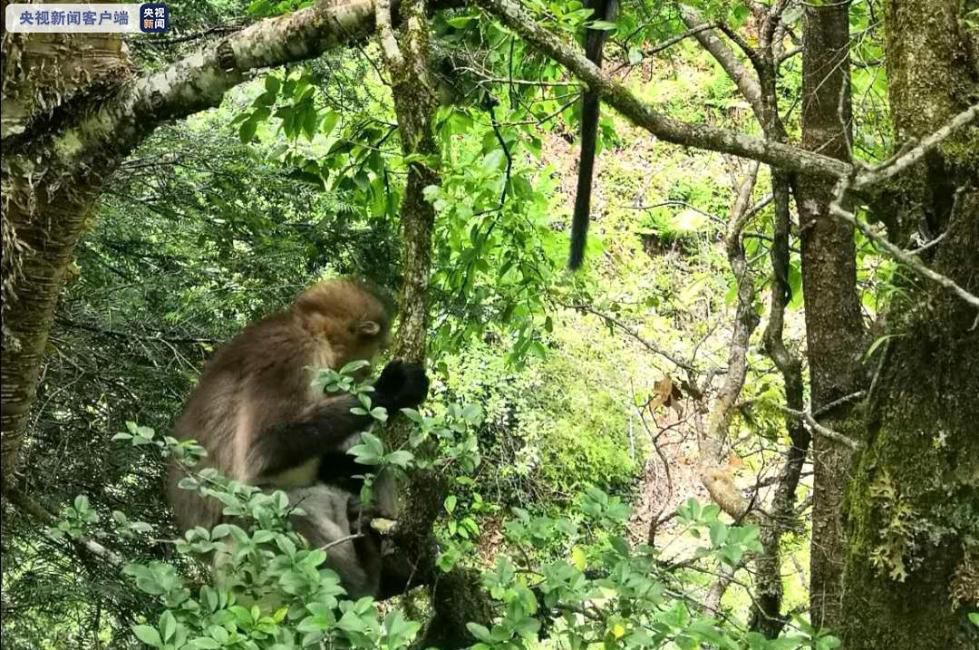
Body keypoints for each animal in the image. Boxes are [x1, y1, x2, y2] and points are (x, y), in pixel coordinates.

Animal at [167, 276, 428, 596]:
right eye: (377, 349)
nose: (367, 371)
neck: (304, 327)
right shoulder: (293, 351)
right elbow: (263, 450)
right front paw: (393, 389)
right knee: (278, 502)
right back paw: (361, 578)